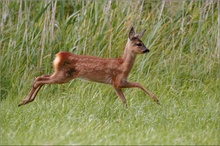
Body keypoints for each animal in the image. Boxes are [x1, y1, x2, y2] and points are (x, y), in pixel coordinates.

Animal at [18, 27, 160, 107]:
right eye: (138, 44)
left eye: (142, 42)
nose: (147, 49)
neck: (123, 65)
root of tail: (59, 56)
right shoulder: (118, 81)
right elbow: (139, 84)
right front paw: (156, 100)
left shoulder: (115, 85)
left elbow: (124, 100)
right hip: (64, 76)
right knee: (40, 80)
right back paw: (25, 101)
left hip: (59, 73)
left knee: (40, 77)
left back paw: (25, 101)